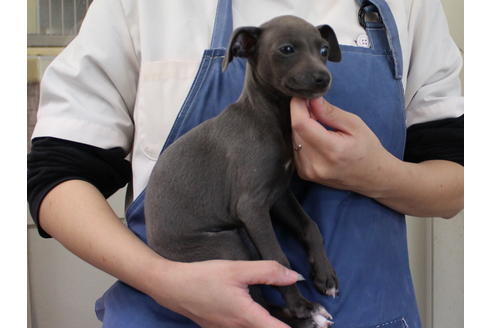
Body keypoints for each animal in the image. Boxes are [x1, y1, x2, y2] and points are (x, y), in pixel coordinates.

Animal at [144, 16, 340, 328]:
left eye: (323, 49)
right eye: (287, 49)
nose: (324, 78)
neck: (268, 119)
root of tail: (158, 250)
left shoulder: (278, 196)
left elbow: (310, 225)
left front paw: (324, 274)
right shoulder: (252, 207)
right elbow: (277, 259)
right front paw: (301, 306)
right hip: (228, 245)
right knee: (259, 301)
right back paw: (306, 317)